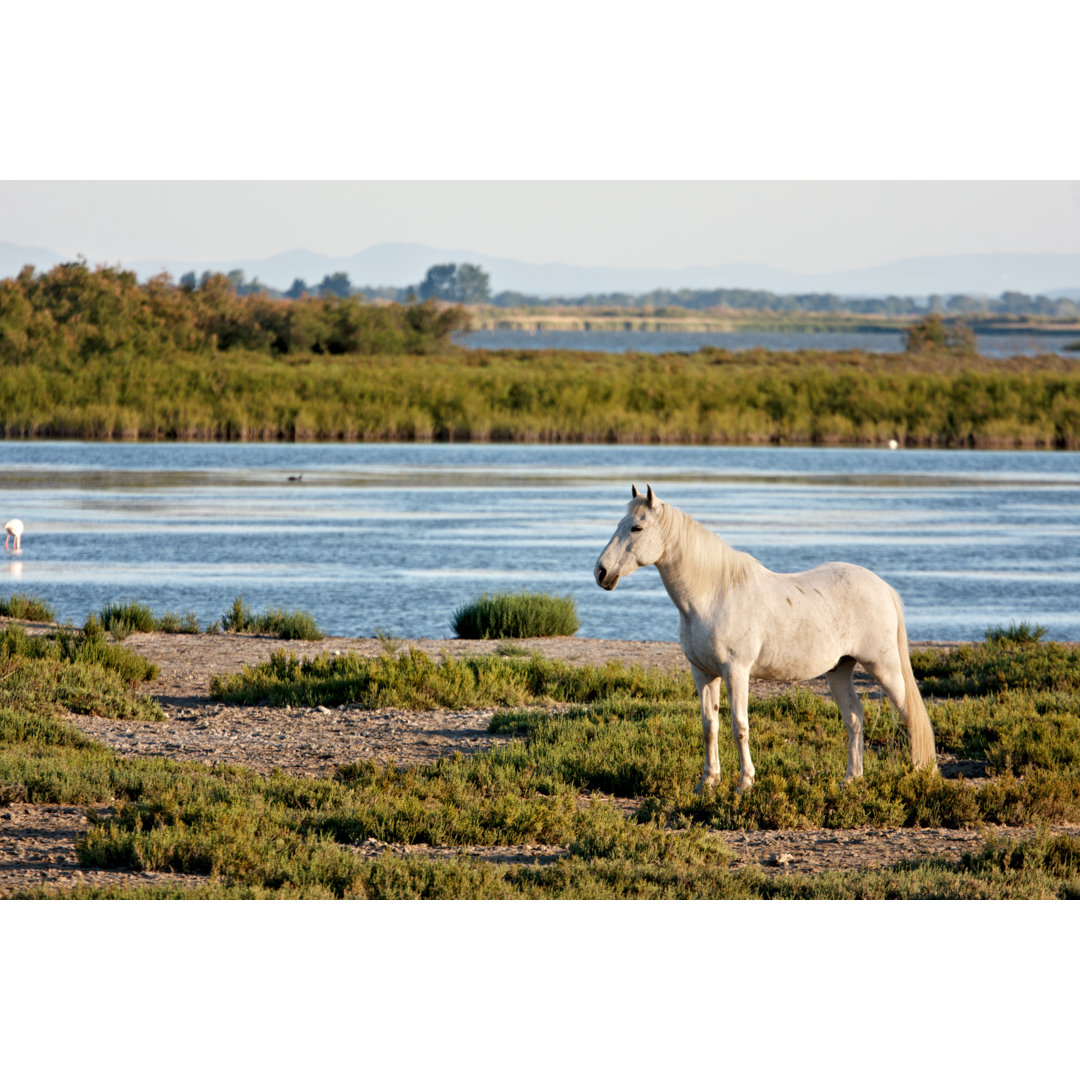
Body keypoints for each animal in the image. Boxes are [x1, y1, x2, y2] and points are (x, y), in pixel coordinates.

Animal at [591, 486, 937, 790]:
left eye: (636, 527)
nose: (601, 572)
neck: (712, 596)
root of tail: (883, 587)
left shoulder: (736, 671)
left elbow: (740, 726)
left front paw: (744, 783)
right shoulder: (703, 673)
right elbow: (709, 726)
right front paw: (708, 782)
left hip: (884, 667)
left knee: (909, 714)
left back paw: (922, 774)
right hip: (839, 670)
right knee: (855, 718)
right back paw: (851, 779)